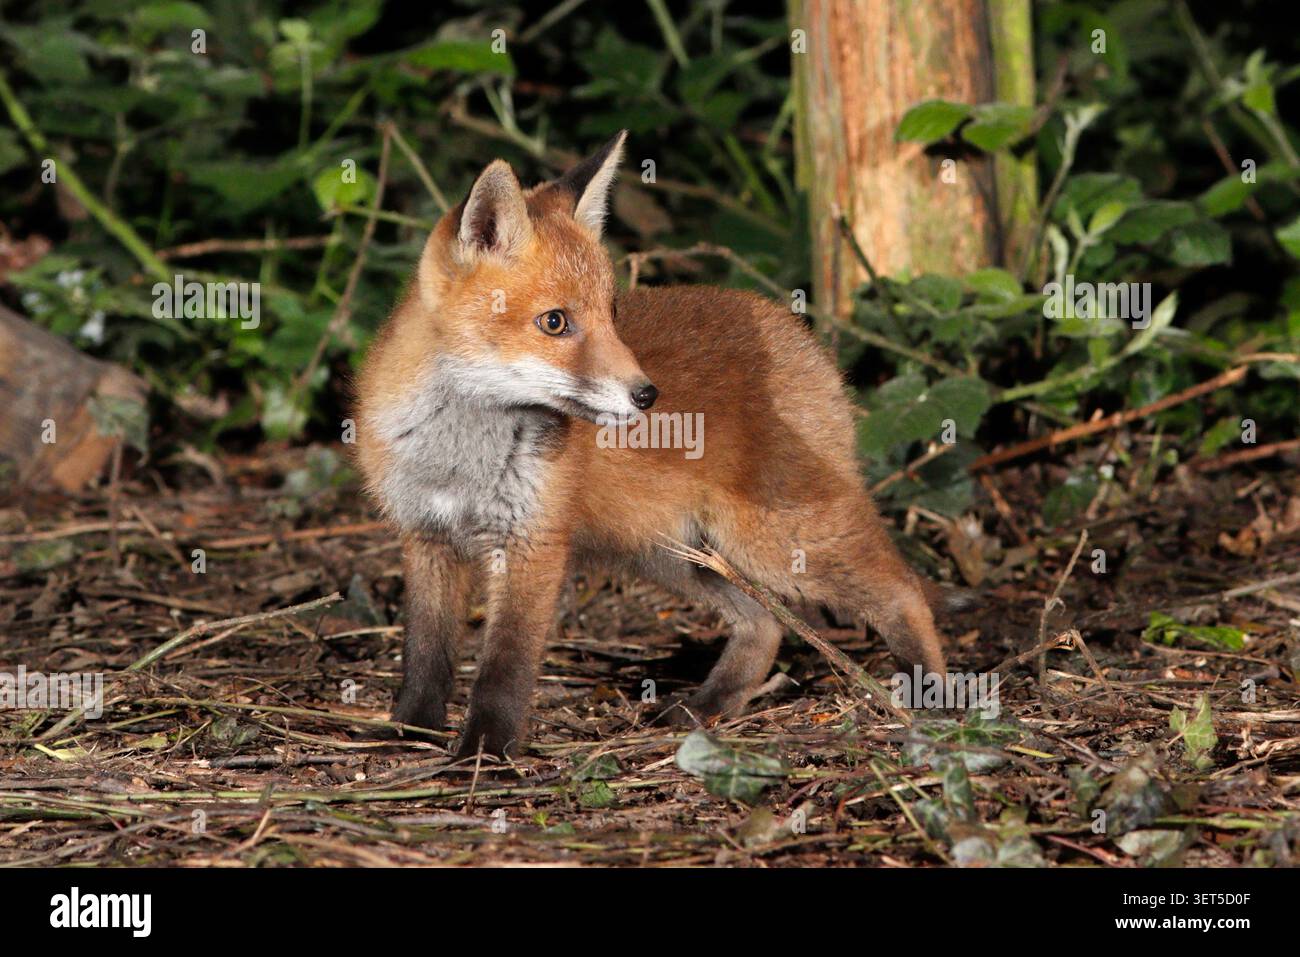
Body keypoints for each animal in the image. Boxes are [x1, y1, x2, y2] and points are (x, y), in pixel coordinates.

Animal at [354, 131, 962, 759]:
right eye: (555, 322)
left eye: (612, 312)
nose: (646, 394)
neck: (459, 452)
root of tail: (801, 336)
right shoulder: (425, 537)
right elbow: (425, 654)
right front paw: (410, 732)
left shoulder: (532, 542)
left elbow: (505, 665)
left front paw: (485, 752)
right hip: (677, 554)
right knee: (766, 624)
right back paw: (703, 708)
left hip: (775, 542)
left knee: (902, 591)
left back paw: (934, 699)